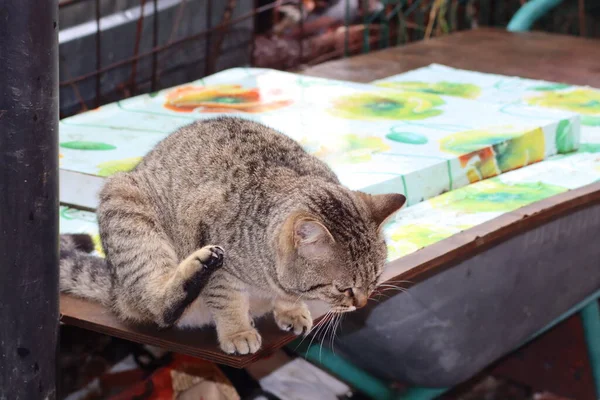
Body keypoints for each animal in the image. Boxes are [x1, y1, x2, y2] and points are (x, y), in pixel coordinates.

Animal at [61, 117, 406, 354]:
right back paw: (195, 270)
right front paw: (238, 332)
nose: (362, 303)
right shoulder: (213, 246)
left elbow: (288, 296)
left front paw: (291, 309)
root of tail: (116, 288)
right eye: (343, 288)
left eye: (375, 280)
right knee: (158, 307)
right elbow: (227, 300)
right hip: (126, 206)